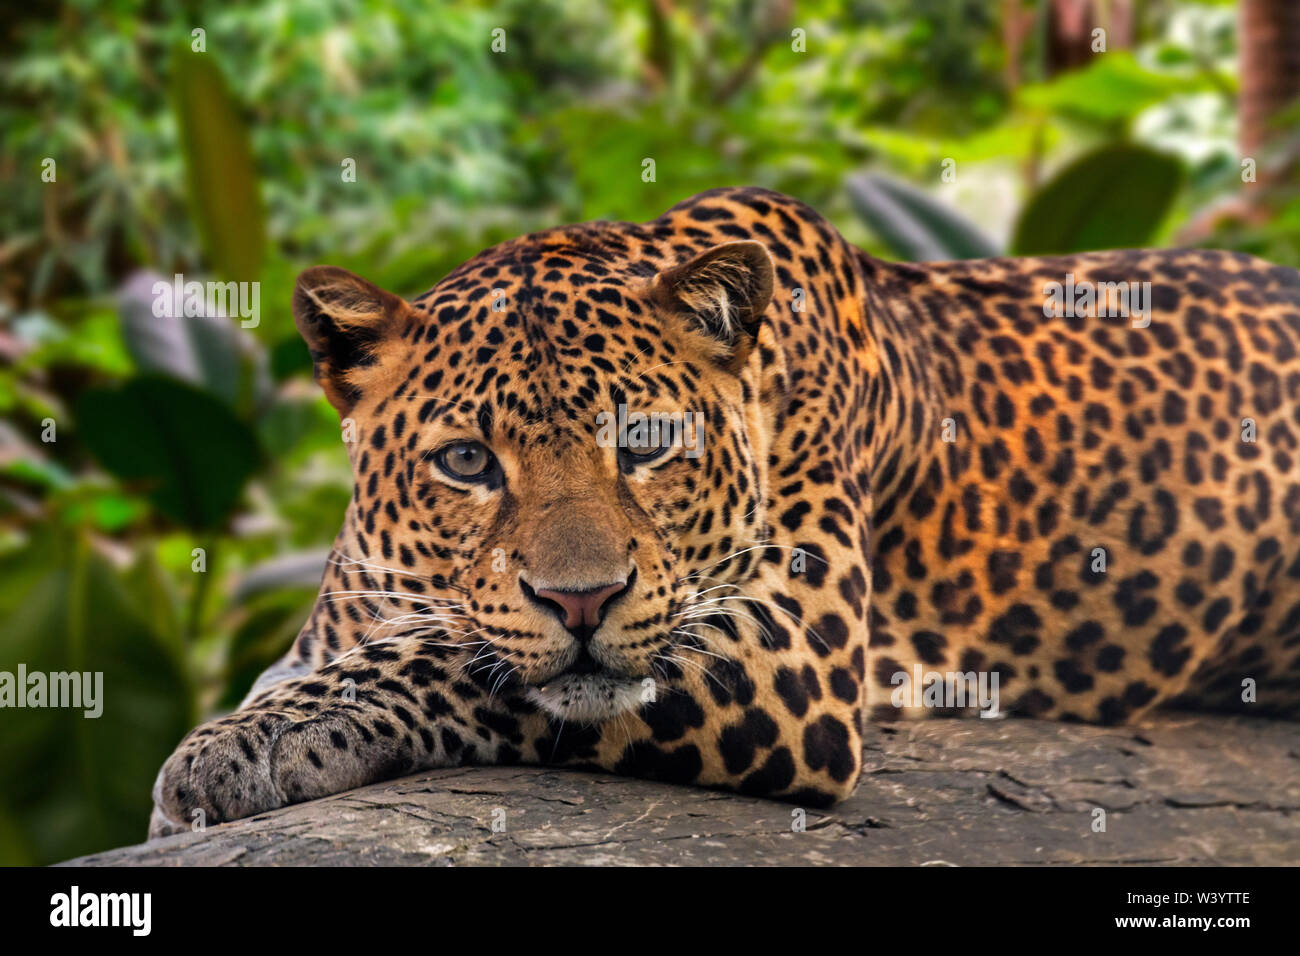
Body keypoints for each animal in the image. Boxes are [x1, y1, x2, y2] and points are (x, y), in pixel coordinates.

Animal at [149, 187, 1300, 837]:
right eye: (468, 461)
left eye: (648, 443)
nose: (582, 600)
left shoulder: (793, 643)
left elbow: (450, 656)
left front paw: (247, 745)